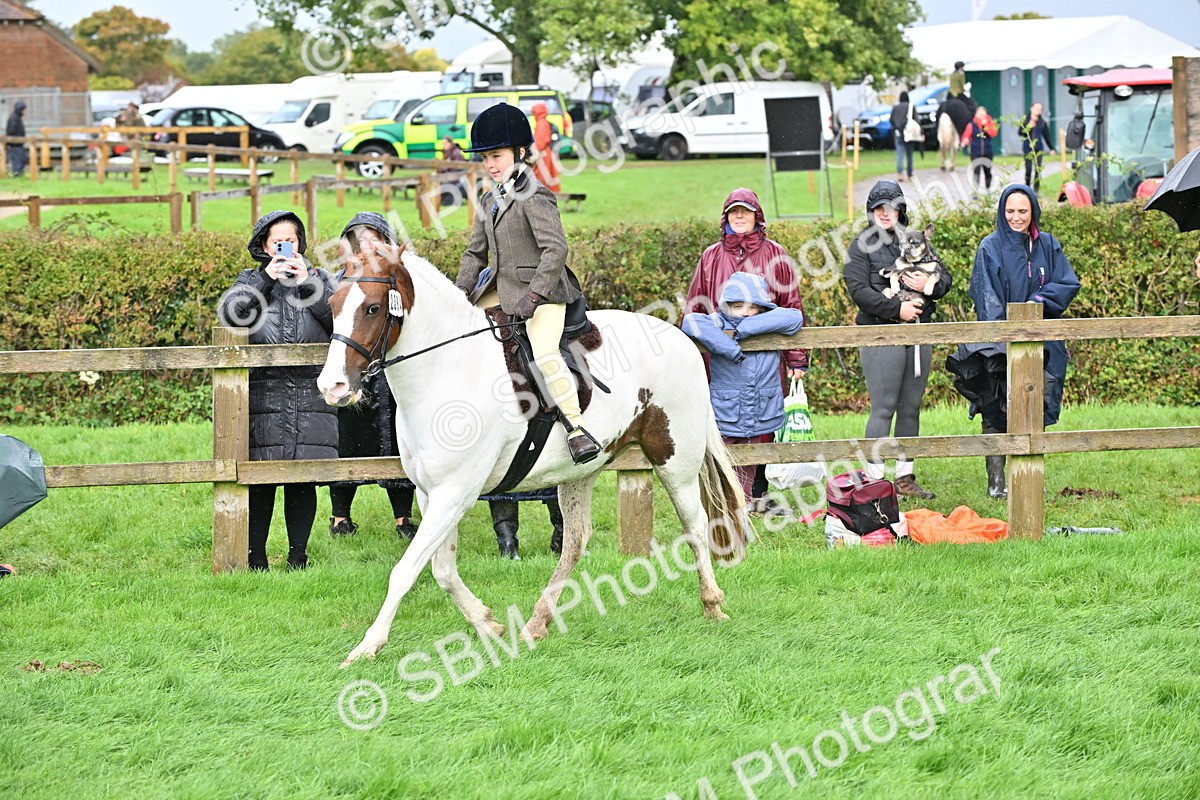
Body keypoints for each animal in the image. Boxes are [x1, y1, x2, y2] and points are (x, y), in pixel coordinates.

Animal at [316, 246, 752, 667]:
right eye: (333, 304)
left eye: (373, 308)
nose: (332, 386)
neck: (449, 369)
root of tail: (680, 336)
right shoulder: (431, 494)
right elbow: (443, 571)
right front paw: (488, 624)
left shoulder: (454, 493)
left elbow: (405, 571)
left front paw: (367, 647)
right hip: (581, 471)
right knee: (576, 540)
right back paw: (537, 623)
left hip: (674, 459)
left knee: (695, 524)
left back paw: (712, 604)